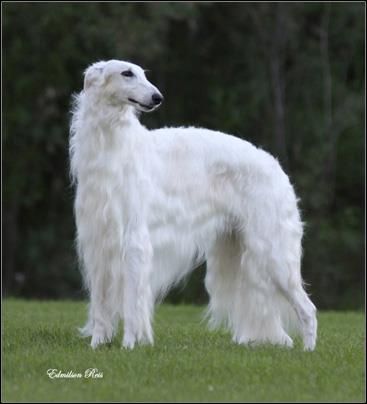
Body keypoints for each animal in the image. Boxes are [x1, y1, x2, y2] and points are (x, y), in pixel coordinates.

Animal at [70, 59, 318, 350]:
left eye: (143, 73)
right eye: (127, 73)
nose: (157, 97)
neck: (114, 148)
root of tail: (277, 168)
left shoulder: (135, 241)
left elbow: (132, 303)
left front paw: (130, 344)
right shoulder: (98, 242)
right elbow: (100, 304)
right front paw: (97, 344)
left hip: (274, 252)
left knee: (309, 309)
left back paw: (308, 350)